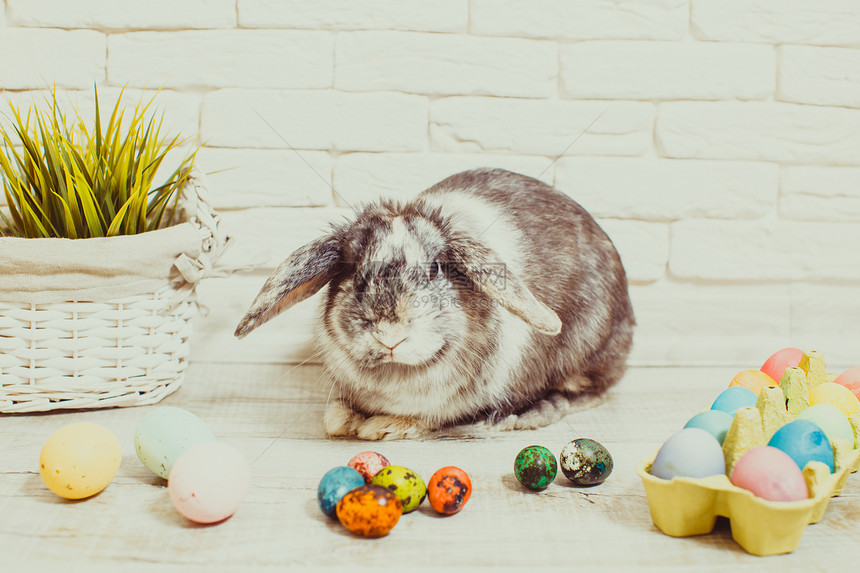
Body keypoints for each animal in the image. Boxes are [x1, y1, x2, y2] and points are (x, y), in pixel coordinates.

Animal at [233, 168, 632, 440]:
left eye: (436, 268)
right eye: (350, 270)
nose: (389, 335)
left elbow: (431, 419)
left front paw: (381, 427)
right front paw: (339, 419)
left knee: (591, 391)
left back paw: (531, 414)